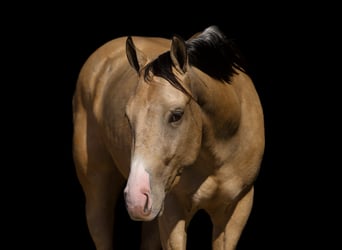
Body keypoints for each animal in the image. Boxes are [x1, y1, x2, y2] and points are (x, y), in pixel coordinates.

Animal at [71, 25, 264, 250]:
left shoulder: (235, 211)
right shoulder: (172, 212)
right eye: (128, 117)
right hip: (99, 191)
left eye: (177, 115)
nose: (136, 198)